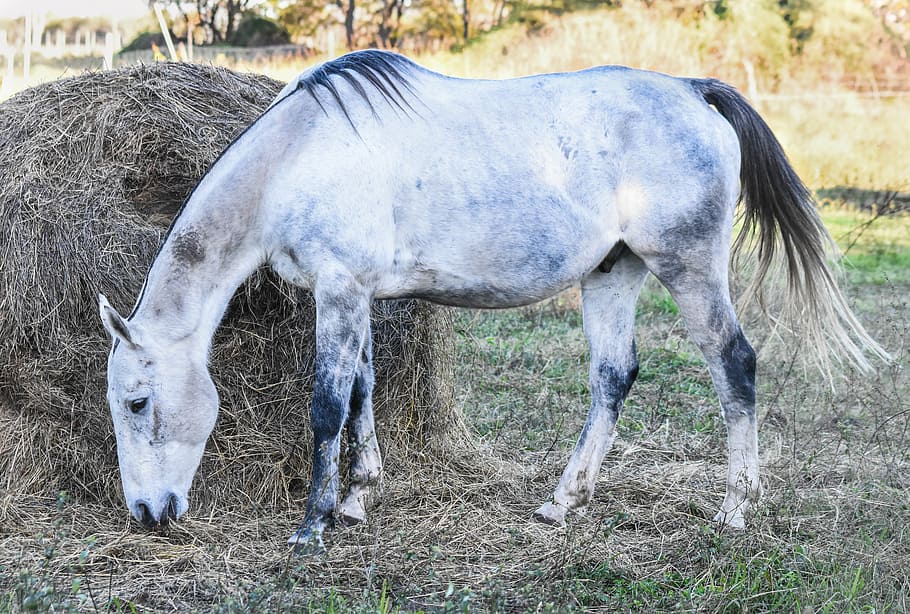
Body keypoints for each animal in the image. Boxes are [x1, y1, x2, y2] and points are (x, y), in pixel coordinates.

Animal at [99, 50, 886, 553]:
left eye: (137, 403)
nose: (146, 513)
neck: (298, 159)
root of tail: (694, 90)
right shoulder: (358, 297)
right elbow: (363, 391)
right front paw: (357, 499)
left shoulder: (340, 289)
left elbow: (327, 405)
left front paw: (313, 523)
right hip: (614, 273)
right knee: (614, 377)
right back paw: (562, 503)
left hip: (686, 269)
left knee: (735, 366)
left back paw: (733, 509)